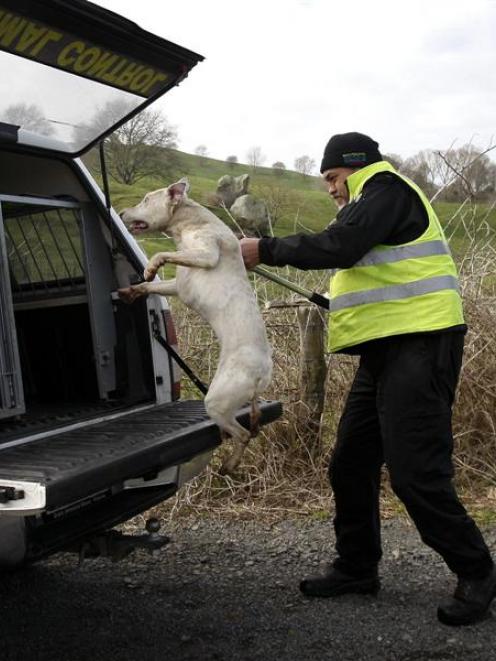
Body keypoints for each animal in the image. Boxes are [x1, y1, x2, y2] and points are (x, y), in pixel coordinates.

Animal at [118, 178, 274, 472]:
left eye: (146, 199)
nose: (121, 213)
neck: (189, 221)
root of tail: (263, 373)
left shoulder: (205, 253)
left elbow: (162, 253)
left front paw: (150, 267)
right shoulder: (177, 285)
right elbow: (148, 285)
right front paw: (131, 291)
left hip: (217, 401)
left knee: (244, 434)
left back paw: (228, 465)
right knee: (252, 427)